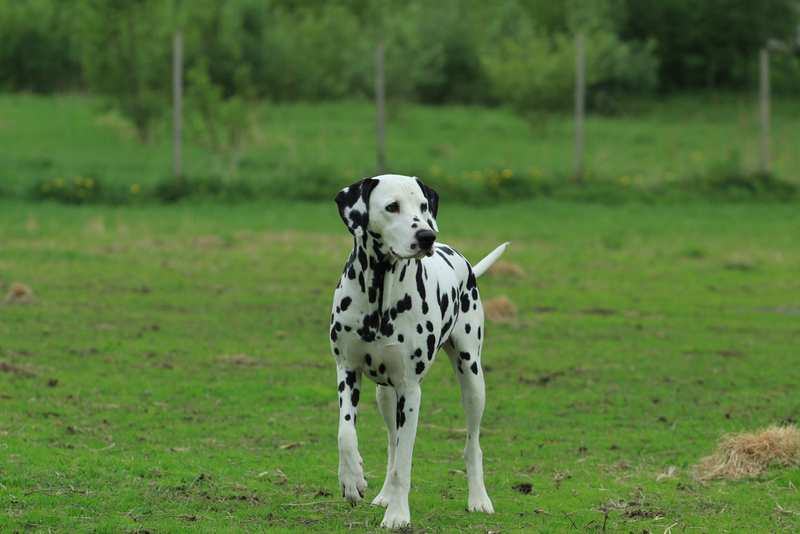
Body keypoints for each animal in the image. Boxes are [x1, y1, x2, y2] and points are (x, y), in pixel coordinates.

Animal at [330, 175, 506, 528]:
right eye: (392, 206)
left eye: (423, 206)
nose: (427, 235)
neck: (379, 292)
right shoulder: (347, 371)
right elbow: (346, 433)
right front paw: (352, 479)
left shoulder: (410, 391)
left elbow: (404, 462)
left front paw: (398, 514)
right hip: (385, 395)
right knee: (391, 444)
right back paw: (383, 495)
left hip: (472, 380)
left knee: (472, 444)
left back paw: (479, 499)